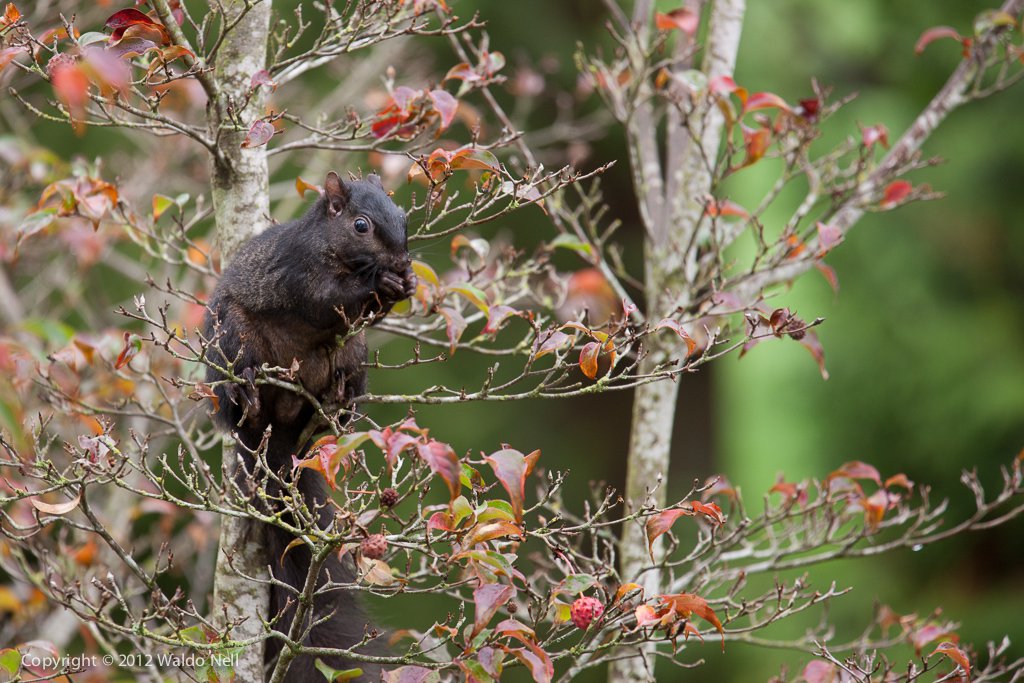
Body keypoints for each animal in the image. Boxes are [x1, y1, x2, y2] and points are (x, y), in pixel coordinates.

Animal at [201, 171, 413, 679]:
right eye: (361, 225)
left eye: (403, 217)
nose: (401, 260)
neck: (334, 251)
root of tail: (278, 430)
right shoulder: (295, 273)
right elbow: (325, 300)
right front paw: (381, 282)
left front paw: (408, 283)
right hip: (233, 335)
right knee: (242, 381)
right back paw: (249, 391)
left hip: (354, 353)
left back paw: (337, 403)